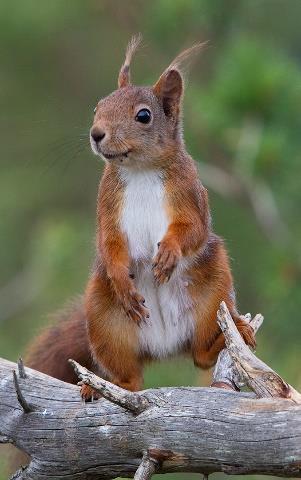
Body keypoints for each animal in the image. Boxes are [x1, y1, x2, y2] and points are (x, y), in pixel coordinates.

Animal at [27, 36, 254, 398]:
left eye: (144, 116)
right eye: (97, 107)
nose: (96, 133)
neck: (141, 170)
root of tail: (164, 346)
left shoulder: (191, 194)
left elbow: (194, 230)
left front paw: (169, 252)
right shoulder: (107, 206)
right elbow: (109, 242)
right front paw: (123, 278)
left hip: (213, 293)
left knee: (201, 354)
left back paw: (228, 339)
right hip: (104, 318)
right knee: (130, 377)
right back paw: (103, 386)